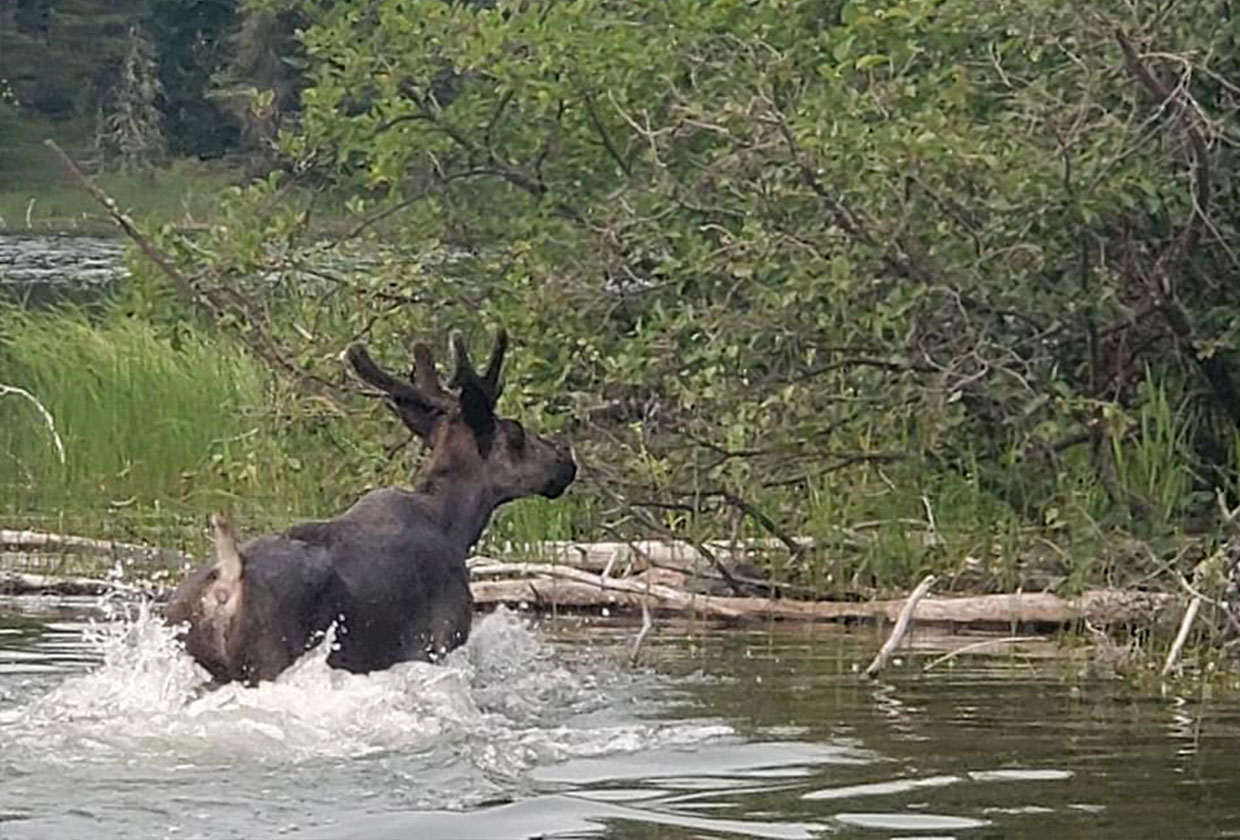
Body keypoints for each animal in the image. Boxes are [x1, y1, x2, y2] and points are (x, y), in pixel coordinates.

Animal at [161, 325, 580, 684]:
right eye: (516, 434)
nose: (565, 458)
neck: (456, 525)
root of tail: (228, 579)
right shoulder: (440, 638)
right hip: (269, 658)